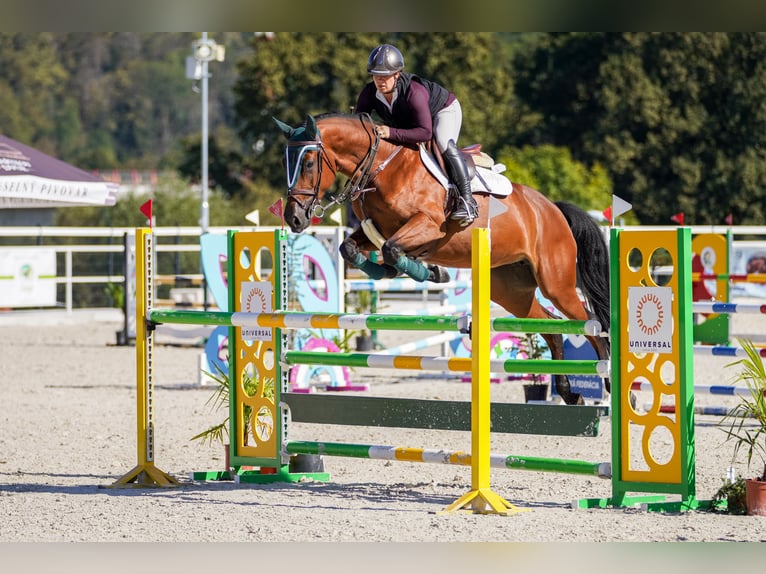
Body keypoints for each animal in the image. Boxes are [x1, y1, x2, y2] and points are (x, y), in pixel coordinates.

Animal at [274, 115, 612, 408]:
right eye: (284, 163)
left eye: (308, 163)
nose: (294, 218)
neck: (383, 168)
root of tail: (551, 209)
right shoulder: (373, 231)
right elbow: (350, 248)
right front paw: (402, 270)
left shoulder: (428, 225)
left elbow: (393, 249)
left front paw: (431, 272)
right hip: (511, 292)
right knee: (552, 327)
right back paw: (570, 393)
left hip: (557, 284)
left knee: (590, 322)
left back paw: (607, 377)